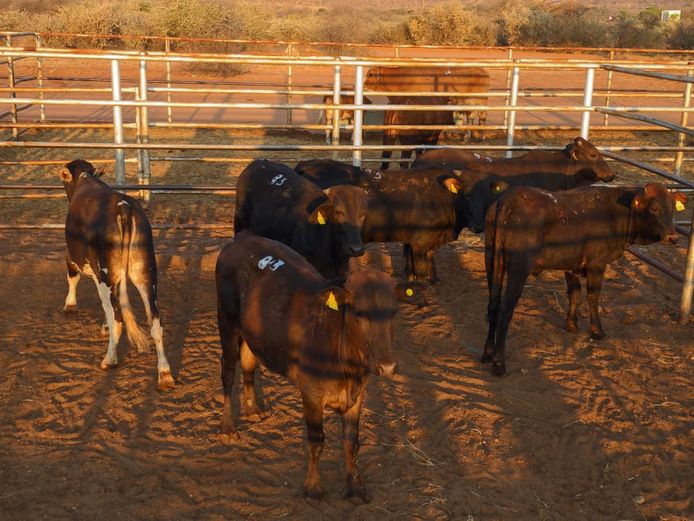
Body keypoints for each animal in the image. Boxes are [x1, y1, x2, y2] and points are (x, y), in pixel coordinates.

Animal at [59, 159, 174, 390]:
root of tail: (123, 207)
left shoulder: (74, 257)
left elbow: (73, 277)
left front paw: (70, 305)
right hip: (145, 274)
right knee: (155, 322)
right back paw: (164, 374)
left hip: (106, 277)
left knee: (118, 318)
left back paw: (109, 359)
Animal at [216, 230, 420, 500]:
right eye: (359, 312)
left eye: (394, 311)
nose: (387, 366)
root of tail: (243, 237)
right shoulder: (311, 393)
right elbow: (316, 440)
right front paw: (313, 487)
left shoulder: (357, 395)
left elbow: (351, 441)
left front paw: (355, 486)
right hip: (226, 322)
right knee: (228, 373)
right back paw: (228, 427)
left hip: (254, 331)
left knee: (249, 362)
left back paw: (252, 408)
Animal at [483, 183, 687, 376]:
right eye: (654, 208)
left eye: (673, 208)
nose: (673, 237)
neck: (614, 213)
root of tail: (508, 200)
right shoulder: (597, 263)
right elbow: (593, 297)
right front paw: (597, 331)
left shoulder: (571, 264)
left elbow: (575, 294)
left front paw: (571, 325)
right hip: (518, 271)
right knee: (504, 311)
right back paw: (499, 364)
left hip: (492, 261)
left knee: (493, 304)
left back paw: (487, 353)